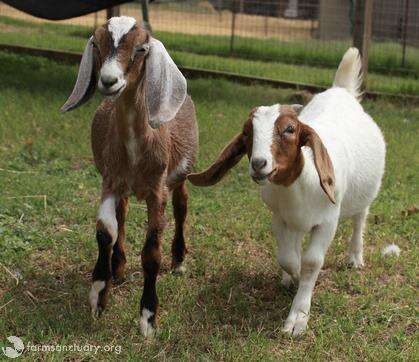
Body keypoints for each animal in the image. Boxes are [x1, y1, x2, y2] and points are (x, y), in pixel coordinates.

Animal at [60, 17, 200, 338]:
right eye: (97, 44)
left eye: (140, 49)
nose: (108, 81)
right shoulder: (111, 181)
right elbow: (105, 231)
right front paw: (99, 293)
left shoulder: (157, 190)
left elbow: (151, 253)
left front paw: (148, 318)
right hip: (124, 188)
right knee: (122, 218)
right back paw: (119, 268)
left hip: (180, 177)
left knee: (182, 207)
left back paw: (179, 261)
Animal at [189, 48, 386, 336]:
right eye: (247, 132)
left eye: (290, 129)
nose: (259, 163)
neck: (300, 186)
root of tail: (341, 89)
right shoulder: (280, 217)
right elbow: (288, 258)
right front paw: (292, 278)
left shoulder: (328, 221)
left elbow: (312, 262)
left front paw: (298, 318)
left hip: (365, 193)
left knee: (360, 218)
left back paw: (355, 257)